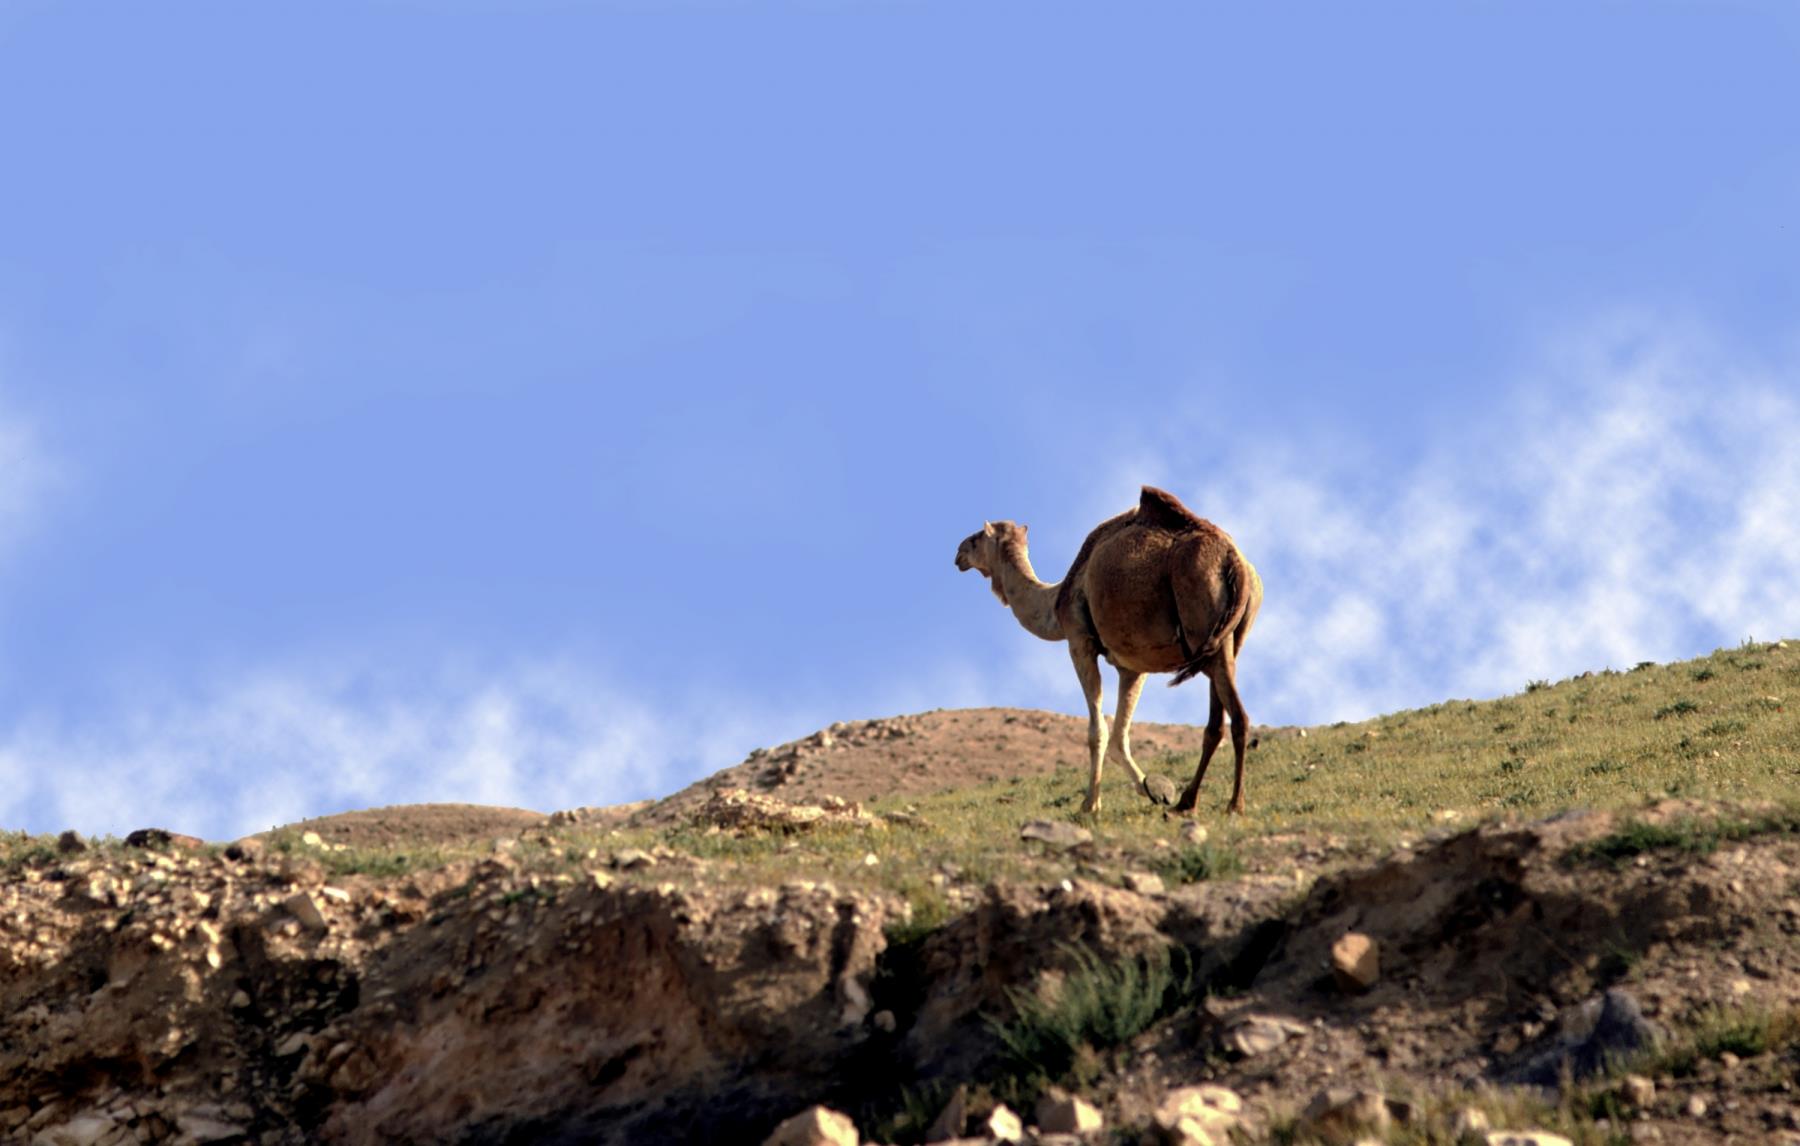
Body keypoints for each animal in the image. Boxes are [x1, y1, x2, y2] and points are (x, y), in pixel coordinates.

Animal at [955, 486, 1263, 815]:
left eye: (976, 538)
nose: (958, 554)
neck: (1056, 600)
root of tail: (1235, 561)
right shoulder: (1133, 663)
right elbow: (1119, 736)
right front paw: (1151, 789)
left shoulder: (1079, 642)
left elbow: (1098, 731)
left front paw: (1090, 804)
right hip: (1225, 642)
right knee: (1216, 724)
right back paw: (1187, 801)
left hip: (1202, 621)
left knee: (1238, 717)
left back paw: (1234, 804)